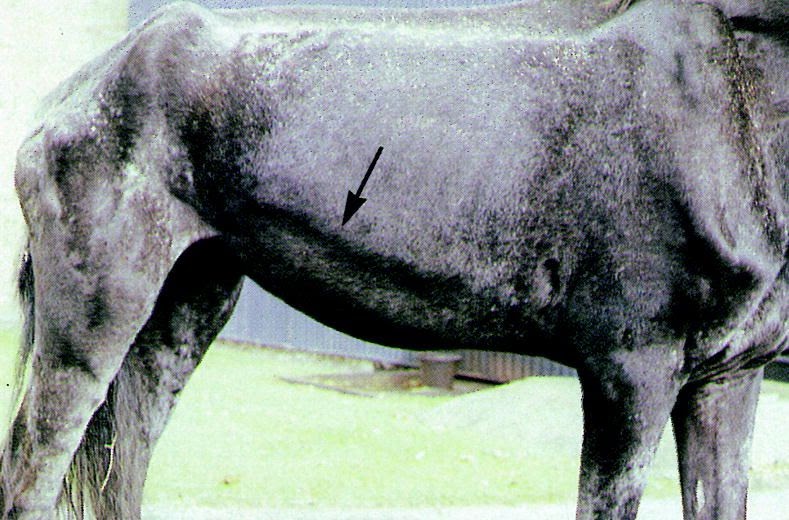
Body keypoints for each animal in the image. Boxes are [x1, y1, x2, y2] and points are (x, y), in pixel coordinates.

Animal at [2, 0, 787, 517]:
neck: (733, 105)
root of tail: (74, 92)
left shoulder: (727, 380)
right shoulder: (630, 374)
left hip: (180, 315)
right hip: (91, 330)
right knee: (33, 473)